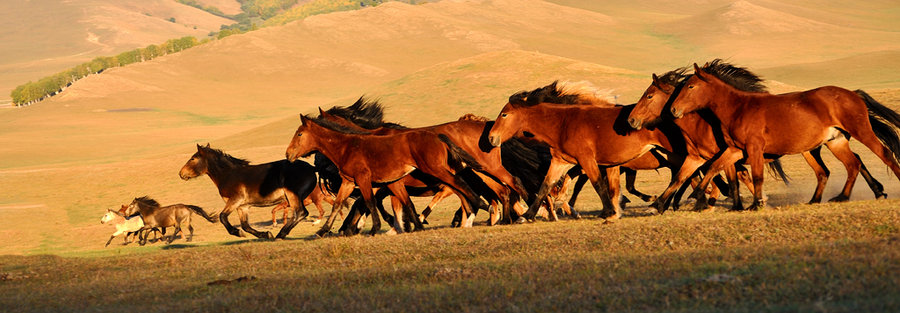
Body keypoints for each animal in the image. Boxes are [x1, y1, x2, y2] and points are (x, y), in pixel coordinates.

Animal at [178, 144, 318, 239]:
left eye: (193, 159)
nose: (181, 174)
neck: (228, 175)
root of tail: (312, 168)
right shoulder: (242, 206)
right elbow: (245, 225)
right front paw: (265, 234)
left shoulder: (235, 199)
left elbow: (223, 217)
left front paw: (237, 233)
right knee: (300, 213)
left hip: (292, 195)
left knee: (300, 212)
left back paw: (281, 234)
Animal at [284, 113, 488, 235]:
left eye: (300, 134)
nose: (288, 154)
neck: (348, 146)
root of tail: (437, 136)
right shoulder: (353, 182)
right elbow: (338, 204)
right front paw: (323, 231)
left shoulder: (365, 180)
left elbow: (369, 203)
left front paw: (376, 228)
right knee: (458, 188)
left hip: (435, 169)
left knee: (460, 185)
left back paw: (481, 208)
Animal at [488, 81, 684, 221]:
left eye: (504, 115)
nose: (491, 137)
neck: (563, 123)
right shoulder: (561, 161)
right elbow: (546, 185)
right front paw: (527, 216)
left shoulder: (587, 161)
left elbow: (598, 184)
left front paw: (610, 211)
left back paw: (662, 204)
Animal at [624, 64, 884, 208]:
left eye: (649, 95)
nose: (631, 120)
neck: (703, 121)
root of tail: (852, 94)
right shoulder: (702, 157)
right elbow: (683, 178)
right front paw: (662, 204)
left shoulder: (730, 155)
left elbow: (731, 179)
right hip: (816, 147)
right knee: (845, 165)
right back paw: (873, 190)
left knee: (854, 162)